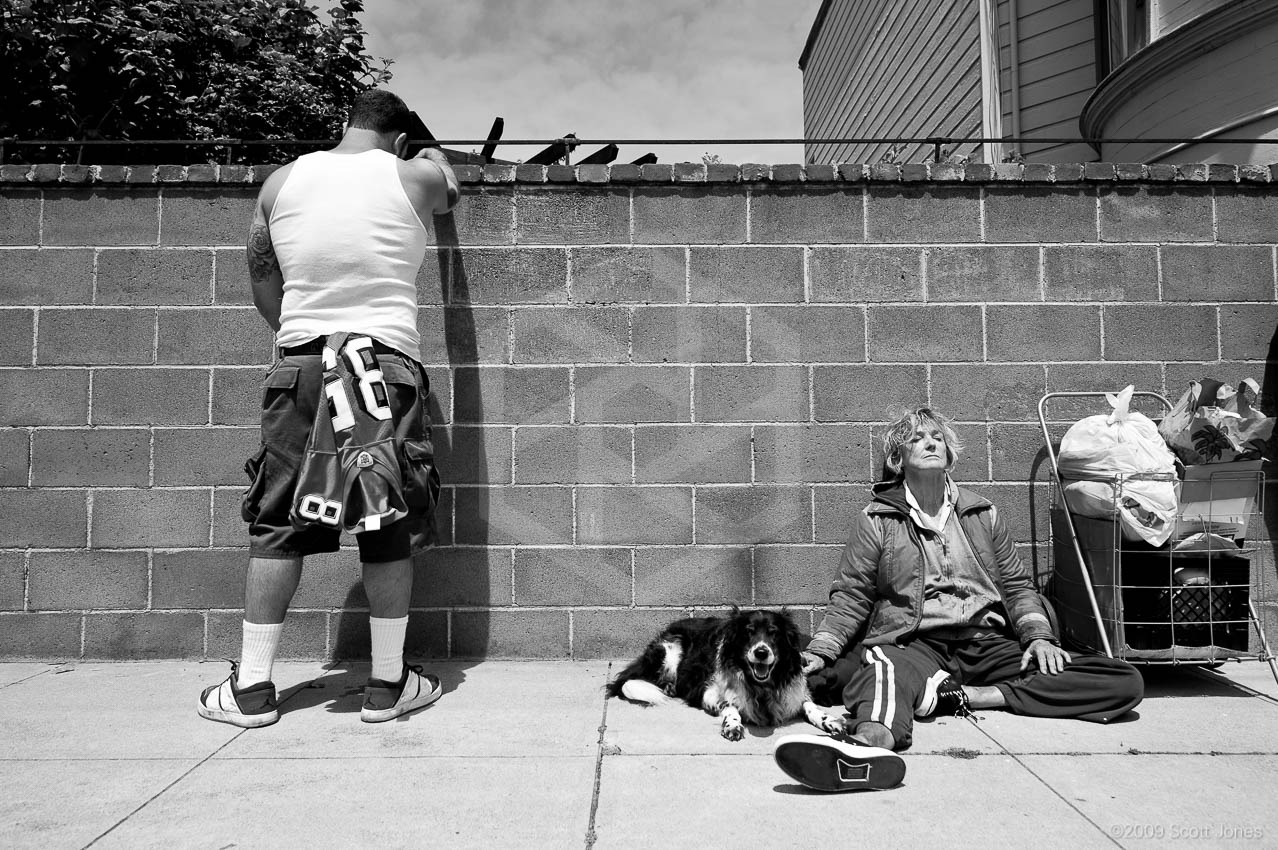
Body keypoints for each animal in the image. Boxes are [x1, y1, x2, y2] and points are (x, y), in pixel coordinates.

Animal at [606, 608, 843, 741]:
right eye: (749, 631)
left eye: (773, 633)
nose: (761, 652)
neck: (761, 687)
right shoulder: (708, 693)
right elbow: (730, 706)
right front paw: (733, 725)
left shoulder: (793, 694)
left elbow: (810, 706)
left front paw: (829, 720)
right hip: (670, 650)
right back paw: (669, 686)